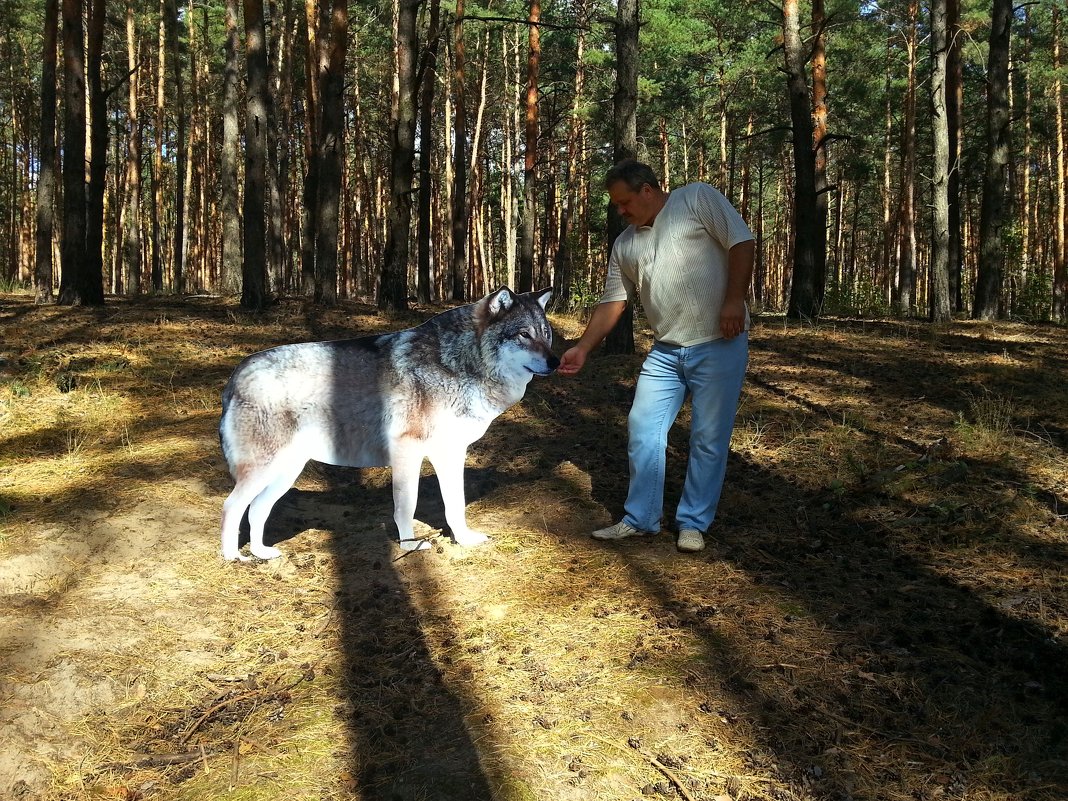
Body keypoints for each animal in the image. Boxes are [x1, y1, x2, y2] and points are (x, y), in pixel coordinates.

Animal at [222, 290, 563, 563]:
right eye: (523, 335)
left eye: (546, 334)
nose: (556, 362)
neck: (459, 365)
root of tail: (237, 373)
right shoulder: (407, 452)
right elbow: (406, 505)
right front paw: (410, 545)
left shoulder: (450, 455)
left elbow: (456, 505)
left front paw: (464, 540)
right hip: (264, 471)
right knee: (231, 507)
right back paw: (232, 557)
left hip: (284, 473)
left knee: (256, 510)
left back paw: (261, 553)